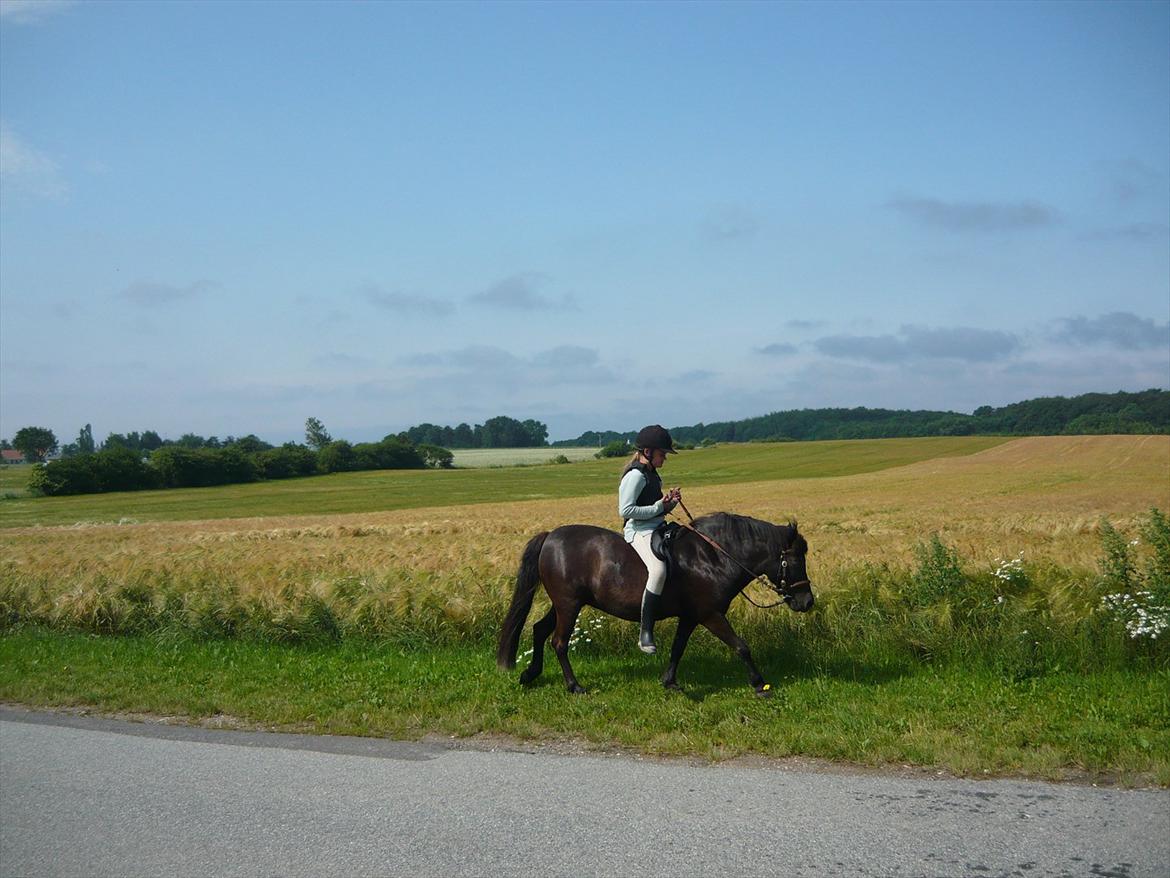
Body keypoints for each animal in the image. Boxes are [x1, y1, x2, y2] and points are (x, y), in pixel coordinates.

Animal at [493, 515, 814, 693]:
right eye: (794, 561)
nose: (807, 602)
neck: (713, 557)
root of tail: (550, 537)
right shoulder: (710, 614)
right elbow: (741, 646)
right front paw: (760, 684)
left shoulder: (691, 616)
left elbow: (678, 648)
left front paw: (669, 681)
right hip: (568, 604)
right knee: (558, 642)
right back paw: (574, 686)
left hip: (565, 603)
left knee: (538, 630)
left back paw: (529, 674)